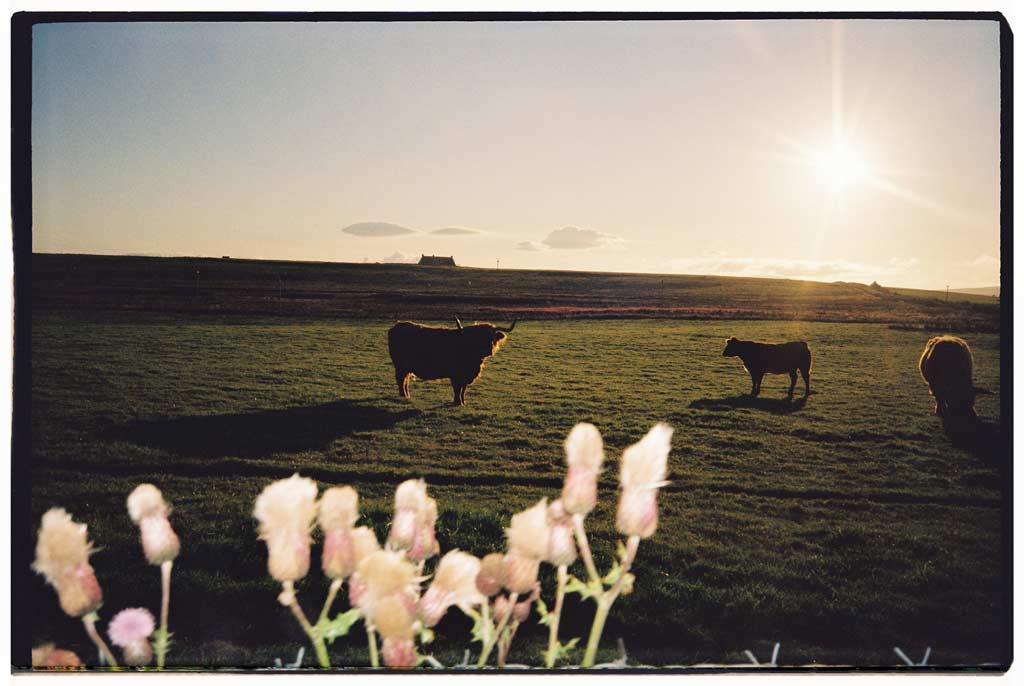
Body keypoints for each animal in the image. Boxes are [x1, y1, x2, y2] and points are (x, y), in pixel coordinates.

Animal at [385, 319, 516, 405]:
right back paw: (404, 396)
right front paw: (457, 402)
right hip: (400, 366)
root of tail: (397, 326)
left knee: (405, 380)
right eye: (477, 337)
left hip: (406, 367)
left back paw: (407, 395)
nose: (488, 350)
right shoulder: (456, 375)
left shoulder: (465, 376)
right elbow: (457, 389)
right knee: (401, 380)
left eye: (491, 337)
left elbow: (463, 389)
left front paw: (463, 402)